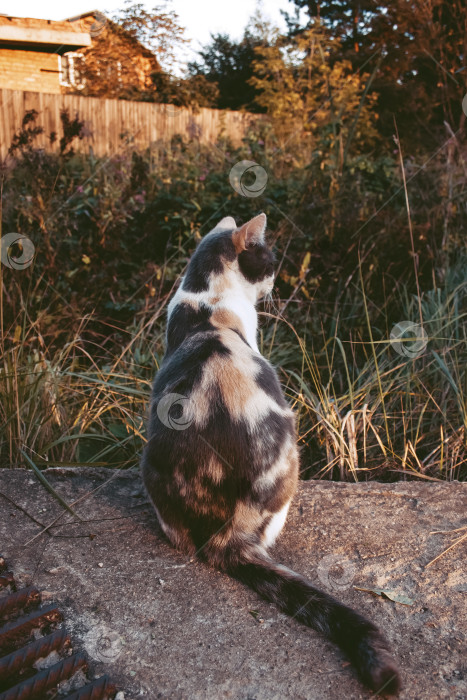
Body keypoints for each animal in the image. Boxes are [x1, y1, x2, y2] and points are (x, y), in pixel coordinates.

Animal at [142, 213, 402, 696]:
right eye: (268, 258)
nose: (277, 278)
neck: (207, 301)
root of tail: (226, 537)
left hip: (150, 466)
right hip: (288, 460)